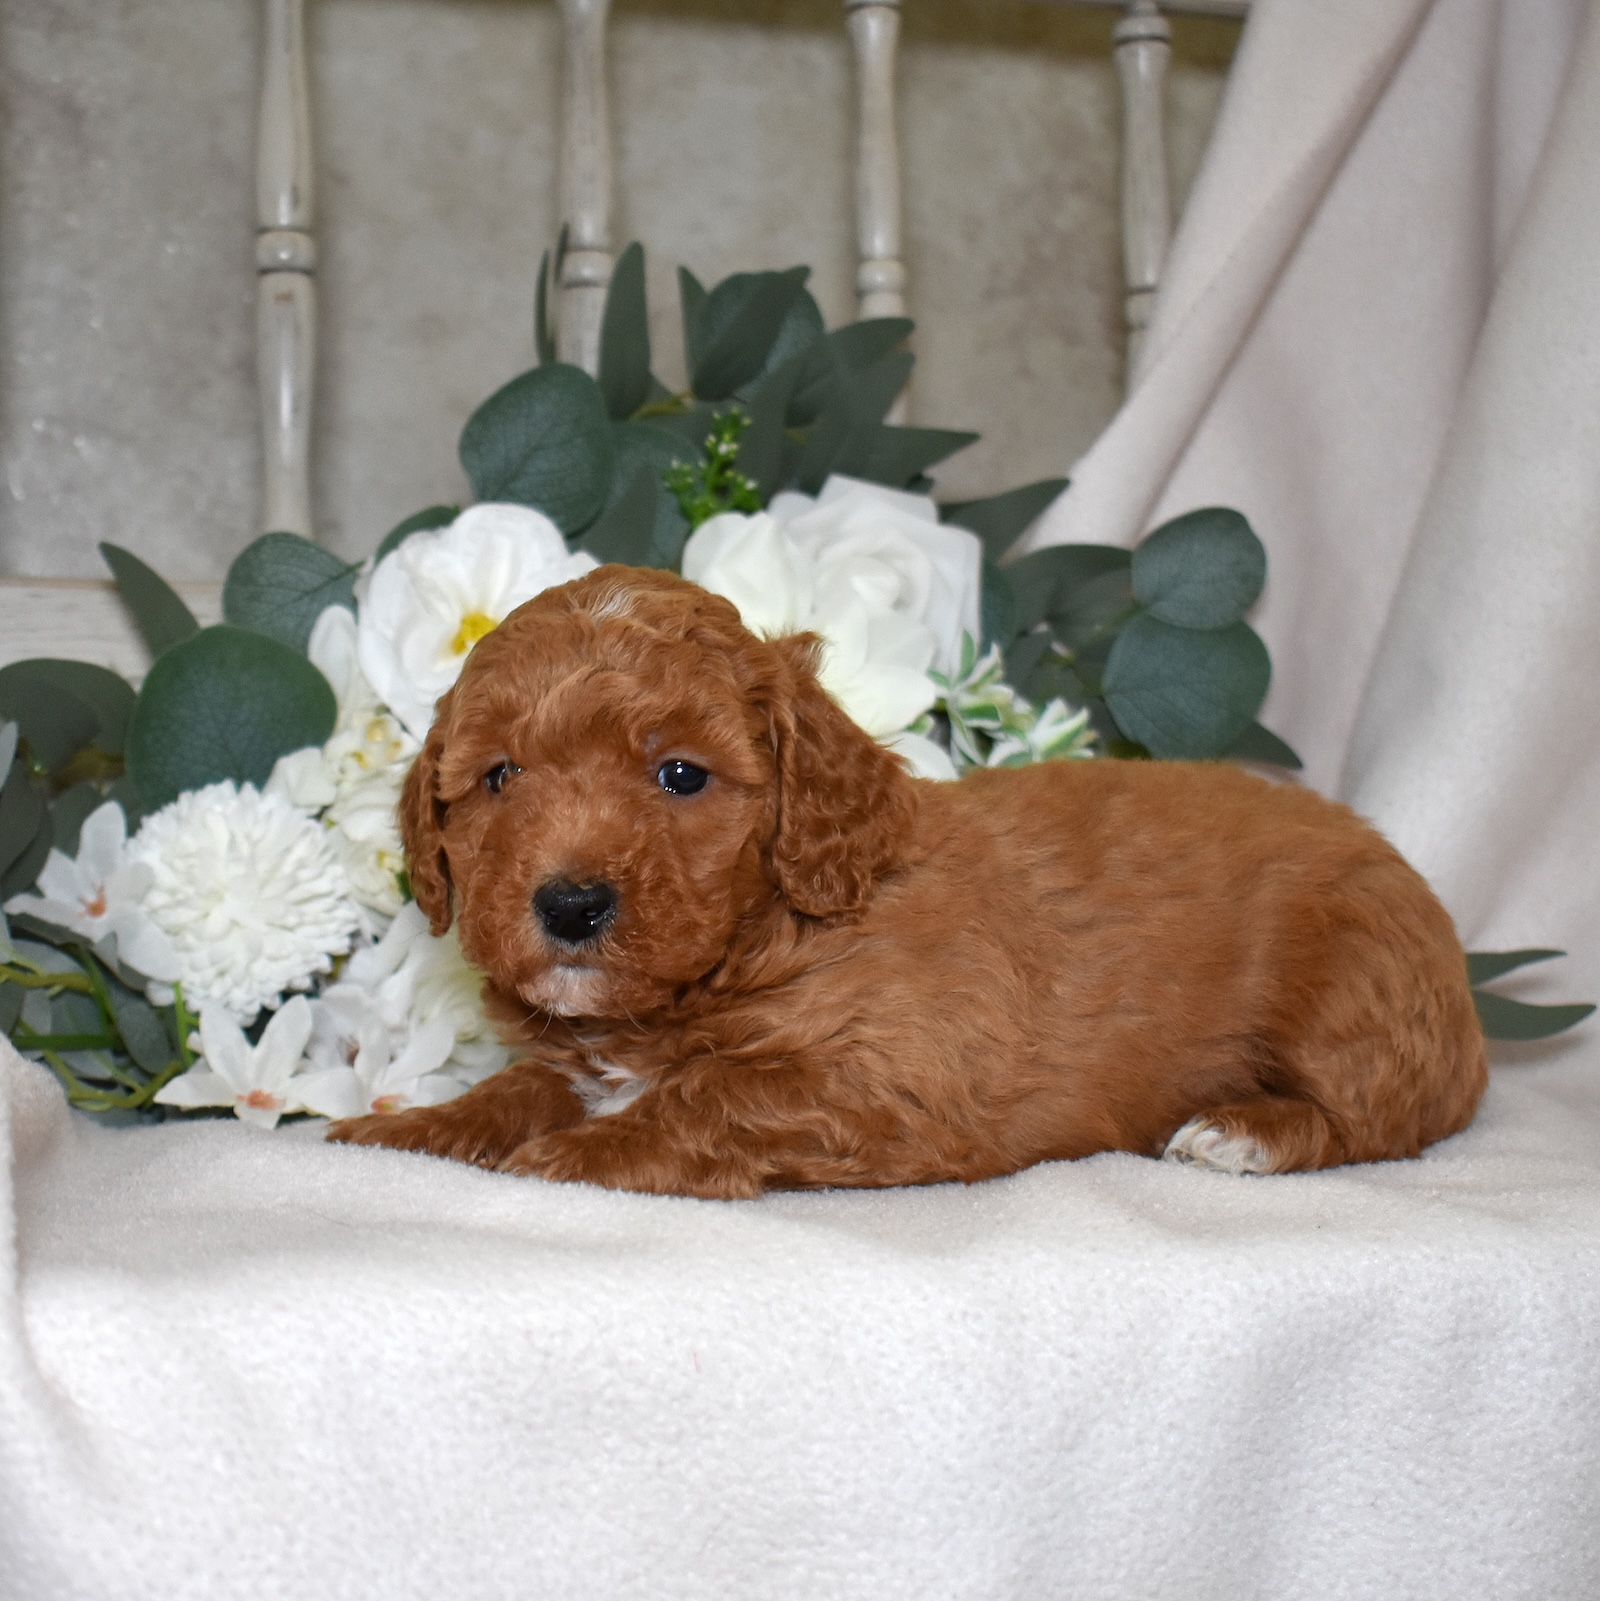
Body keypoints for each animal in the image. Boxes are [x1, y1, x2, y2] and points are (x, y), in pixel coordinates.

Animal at [327, 565, 1487, 1196]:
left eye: (681, 775)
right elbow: (516, 1085)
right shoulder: (577, 1053)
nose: (567, 904)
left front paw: (565, 1157)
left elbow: (711, 1095)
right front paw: (406, 1132)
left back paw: (1243, 1129)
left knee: (1382, 1114)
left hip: (1355, 995)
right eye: (498, 777)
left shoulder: (890, 1079)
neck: (773, 929)